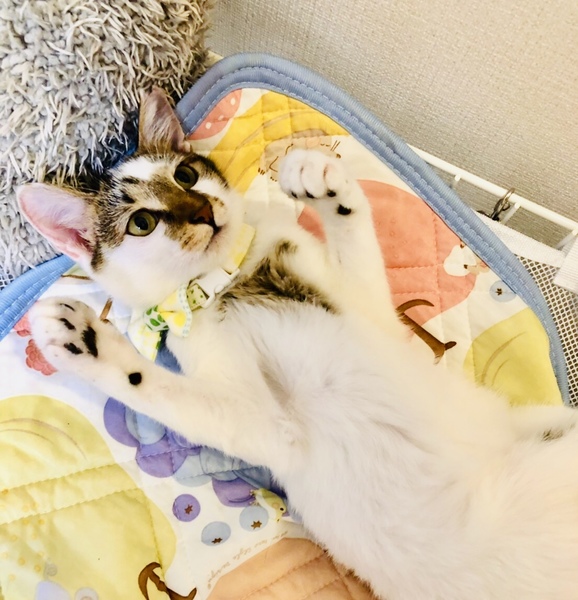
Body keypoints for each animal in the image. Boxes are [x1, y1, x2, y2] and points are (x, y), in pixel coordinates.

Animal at [17, 88, 578, 600]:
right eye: (142, 222)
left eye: (186, 177)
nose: (202, 211)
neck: (233, 276)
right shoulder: (268, 427)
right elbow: (158, 385)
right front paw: (85, 339)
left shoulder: (370, 312)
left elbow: (358, 242)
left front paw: (322, 181)